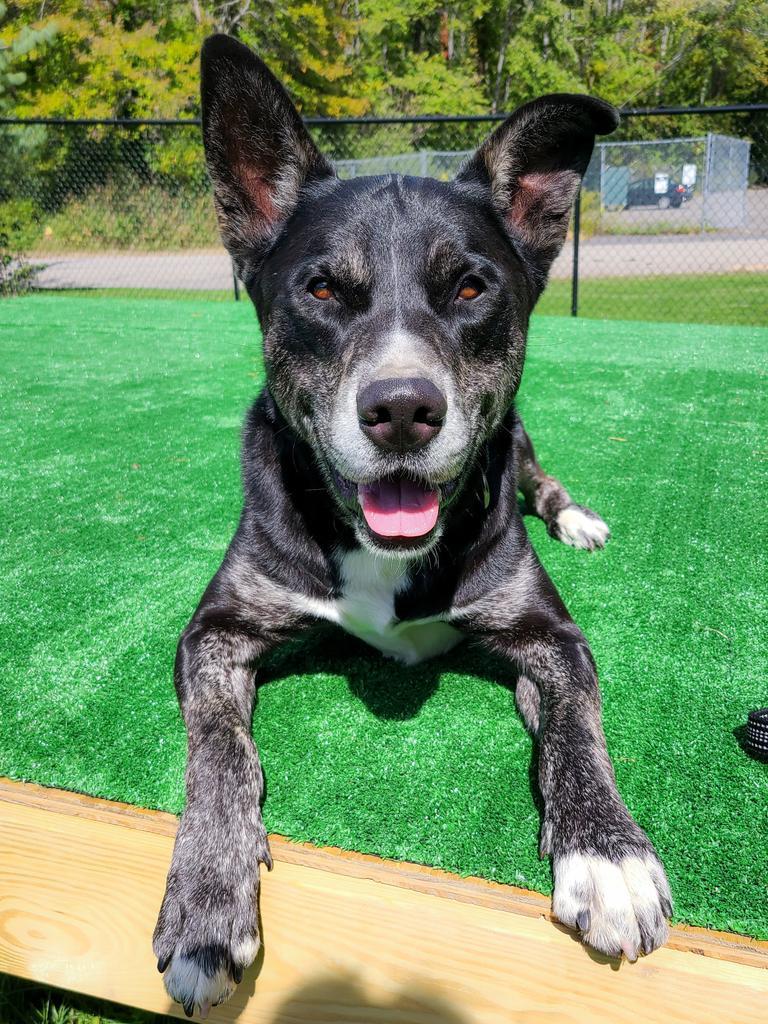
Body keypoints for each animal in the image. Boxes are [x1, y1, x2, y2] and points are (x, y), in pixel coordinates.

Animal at [154, 32, 671, 1015]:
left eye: (470, 287)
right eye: (321, 290)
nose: (401, 409)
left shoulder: (549, 634)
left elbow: (578, 722)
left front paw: (607, 853)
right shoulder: (215, 630)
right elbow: (219, 750)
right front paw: (204, 896)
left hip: (525, 447)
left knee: (542, 479)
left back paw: (577, 518)